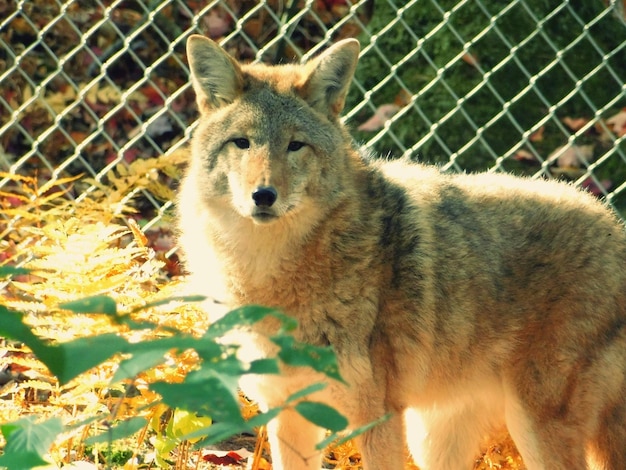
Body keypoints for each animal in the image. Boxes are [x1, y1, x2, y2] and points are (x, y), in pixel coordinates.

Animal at [176, 35, 624, 468]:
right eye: (242, 143)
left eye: (295, 146)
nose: (264, 195)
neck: (268, 275)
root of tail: (613, 226)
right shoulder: (289, 411)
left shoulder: (377, 416)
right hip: (435, 439)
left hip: (531, 428)